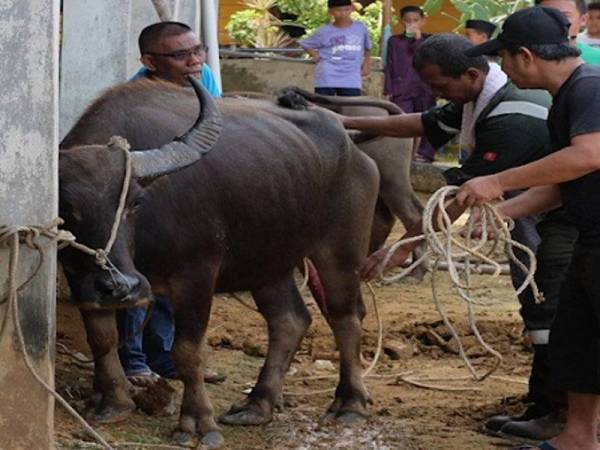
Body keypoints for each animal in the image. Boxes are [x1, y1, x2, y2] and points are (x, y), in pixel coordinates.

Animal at [58, 79, 378, 448]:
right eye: (66, 209)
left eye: (135, 202)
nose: (122, 286)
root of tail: (353, 147)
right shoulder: (81, 279)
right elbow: (101, 337)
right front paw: (112, 402)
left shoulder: (197, 276)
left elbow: (188, 351)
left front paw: (196, 423)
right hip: (268, 261)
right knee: (290, 320)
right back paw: (257, 404)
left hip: (341, 249)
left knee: (346, 317)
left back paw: (350, 402)